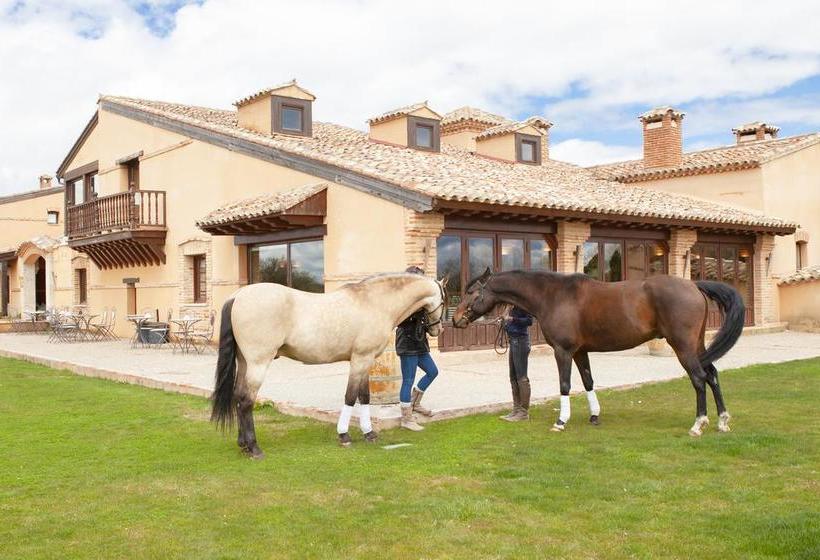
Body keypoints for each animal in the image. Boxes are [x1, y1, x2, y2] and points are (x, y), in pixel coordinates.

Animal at [208, 274, 446, 458]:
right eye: (444, 301)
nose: (438, 330)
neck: (374, 302)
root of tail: (238, 296)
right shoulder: (361, 359)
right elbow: (350, 396)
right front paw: (344, 435)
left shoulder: (364, 361)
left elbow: (364, 397)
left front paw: (369, 433)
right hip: (258, 363)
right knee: (247, 402)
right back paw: (254, 448)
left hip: (244, 362)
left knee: (238, 397)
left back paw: (243, 444)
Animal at [452, 270, 748, 436]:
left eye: (472, 292)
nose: (455, 320)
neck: (553, 296)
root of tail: (694, 285)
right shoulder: (580, 351)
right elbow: (588, 382)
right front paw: (594, 416)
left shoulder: (563, 351)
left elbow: (565, 385)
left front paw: (561, 421)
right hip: (697, 345)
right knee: (712, 375)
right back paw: (722, 421)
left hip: (683, 347)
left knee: (699, 379)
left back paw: (698, 424)